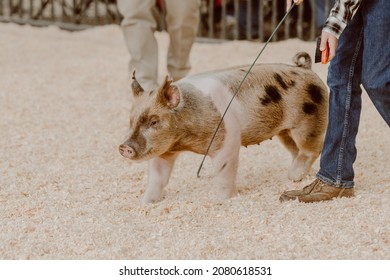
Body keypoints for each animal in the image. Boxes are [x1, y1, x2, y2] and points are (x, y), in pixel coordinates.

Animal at [119, 51, 330, 202]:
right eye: (131, 120)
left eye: (154, 121)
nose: (124, 147)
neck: (185, 141)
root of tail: (306, 68)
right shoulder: (165, 150)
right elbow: (157, 177)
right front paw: (145, 202)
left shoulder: (227, 140)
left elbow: (224, 173)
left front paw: (222, 200)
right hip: (284, 132)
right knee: (296, 150)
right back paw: (296, 176)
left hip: (308, 122)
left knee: (313, 148)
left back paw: (293, 175)